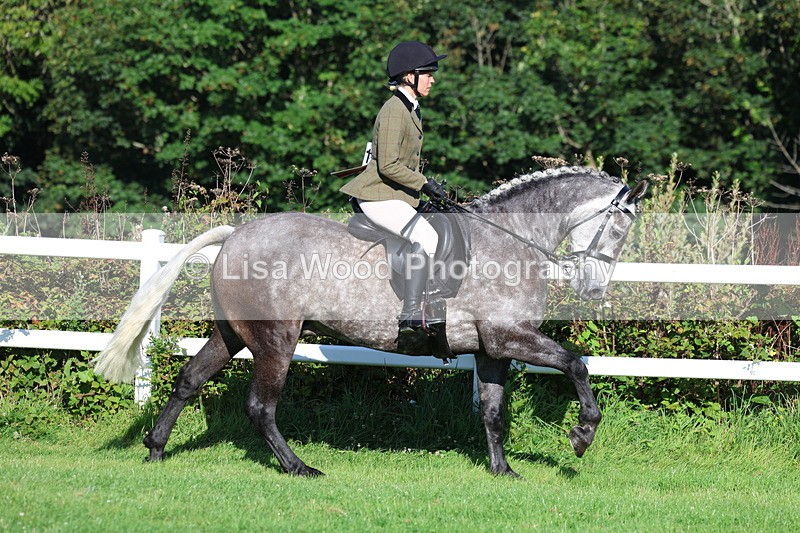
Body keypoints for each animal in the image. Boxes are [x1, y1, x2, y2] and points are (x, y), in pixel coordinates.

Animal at [93, 165, 647, 477]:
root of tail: (236, 236)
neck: (511, 240)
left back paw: (155, 450)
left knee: (189, 379)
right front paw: (582, 435)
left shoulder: (491, 348)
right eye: (619, 228)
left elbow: (492, 412)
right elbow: (575, 364)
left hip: (233, 332)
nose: (593, 289)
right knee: (260, 407)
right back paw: (299, 468)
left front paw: (501, 470)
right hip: (277, 339)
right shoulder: (510, 336)